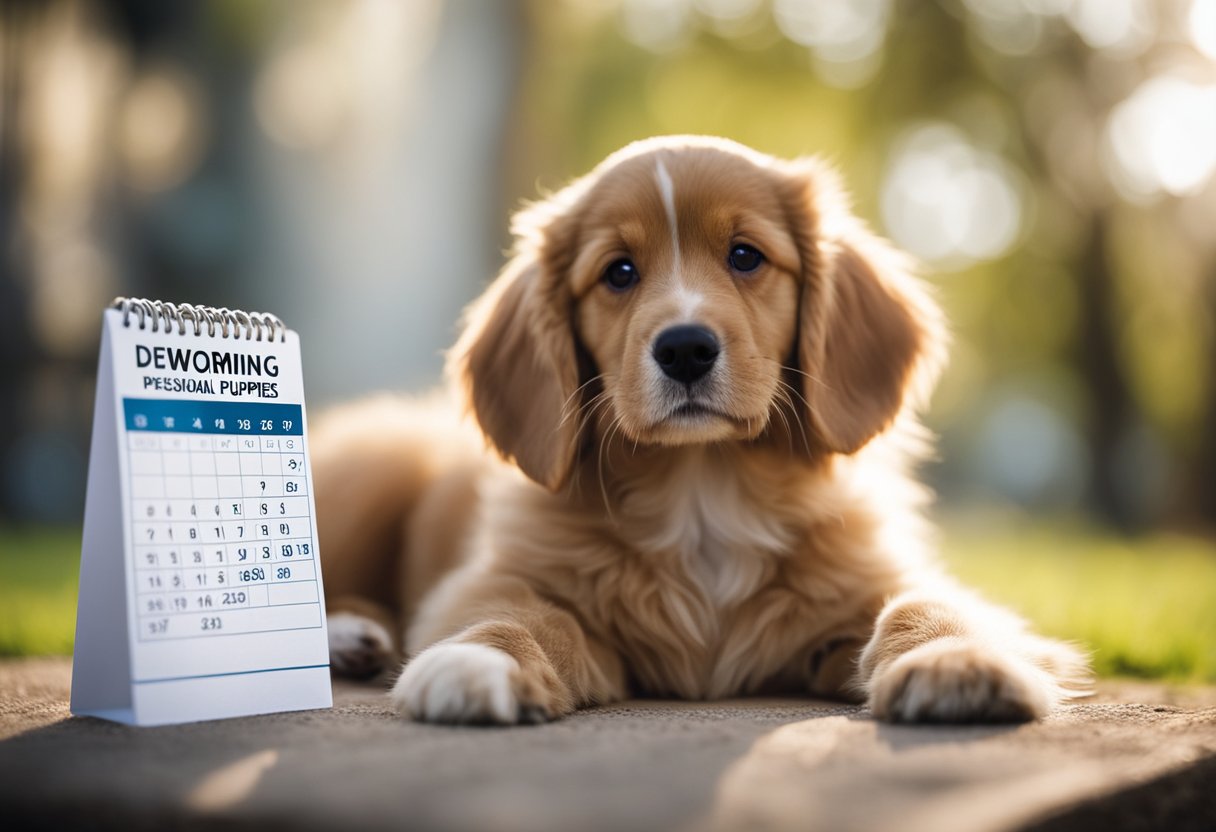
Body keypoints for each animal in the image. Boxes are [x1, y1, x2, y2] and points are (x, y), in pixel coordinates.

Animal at [308, 135, 1089, 720]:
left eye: (745, 256)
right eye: (619, 273)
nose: (684, 348)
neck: (703, 487)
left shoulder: (875, 581)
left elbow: (929, 603)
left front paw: (954, 657)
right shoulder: (490, 582)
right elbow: (527, 617)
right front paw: (478, 660)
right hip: (366, 473)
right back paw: (347, 636)